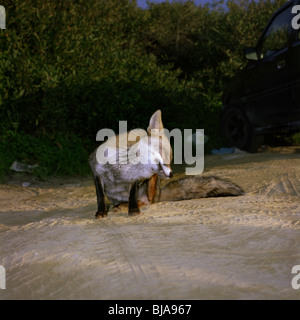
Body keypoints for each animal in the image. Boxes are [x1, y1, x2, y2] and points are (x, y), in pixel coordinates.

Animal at [88, 109, 244, 219]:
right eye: (163, 155)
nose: (171, 174)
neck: (122, 166)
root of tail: (159, 193)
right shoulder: (96, 172)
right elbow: (100, 196)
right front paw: (101, 212)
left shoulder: (134, 180)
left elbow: (133, 196)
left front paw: (133, 209)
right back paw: (117, 205)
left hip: (151, 184)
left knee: (148, 201)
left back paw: (127, 205)